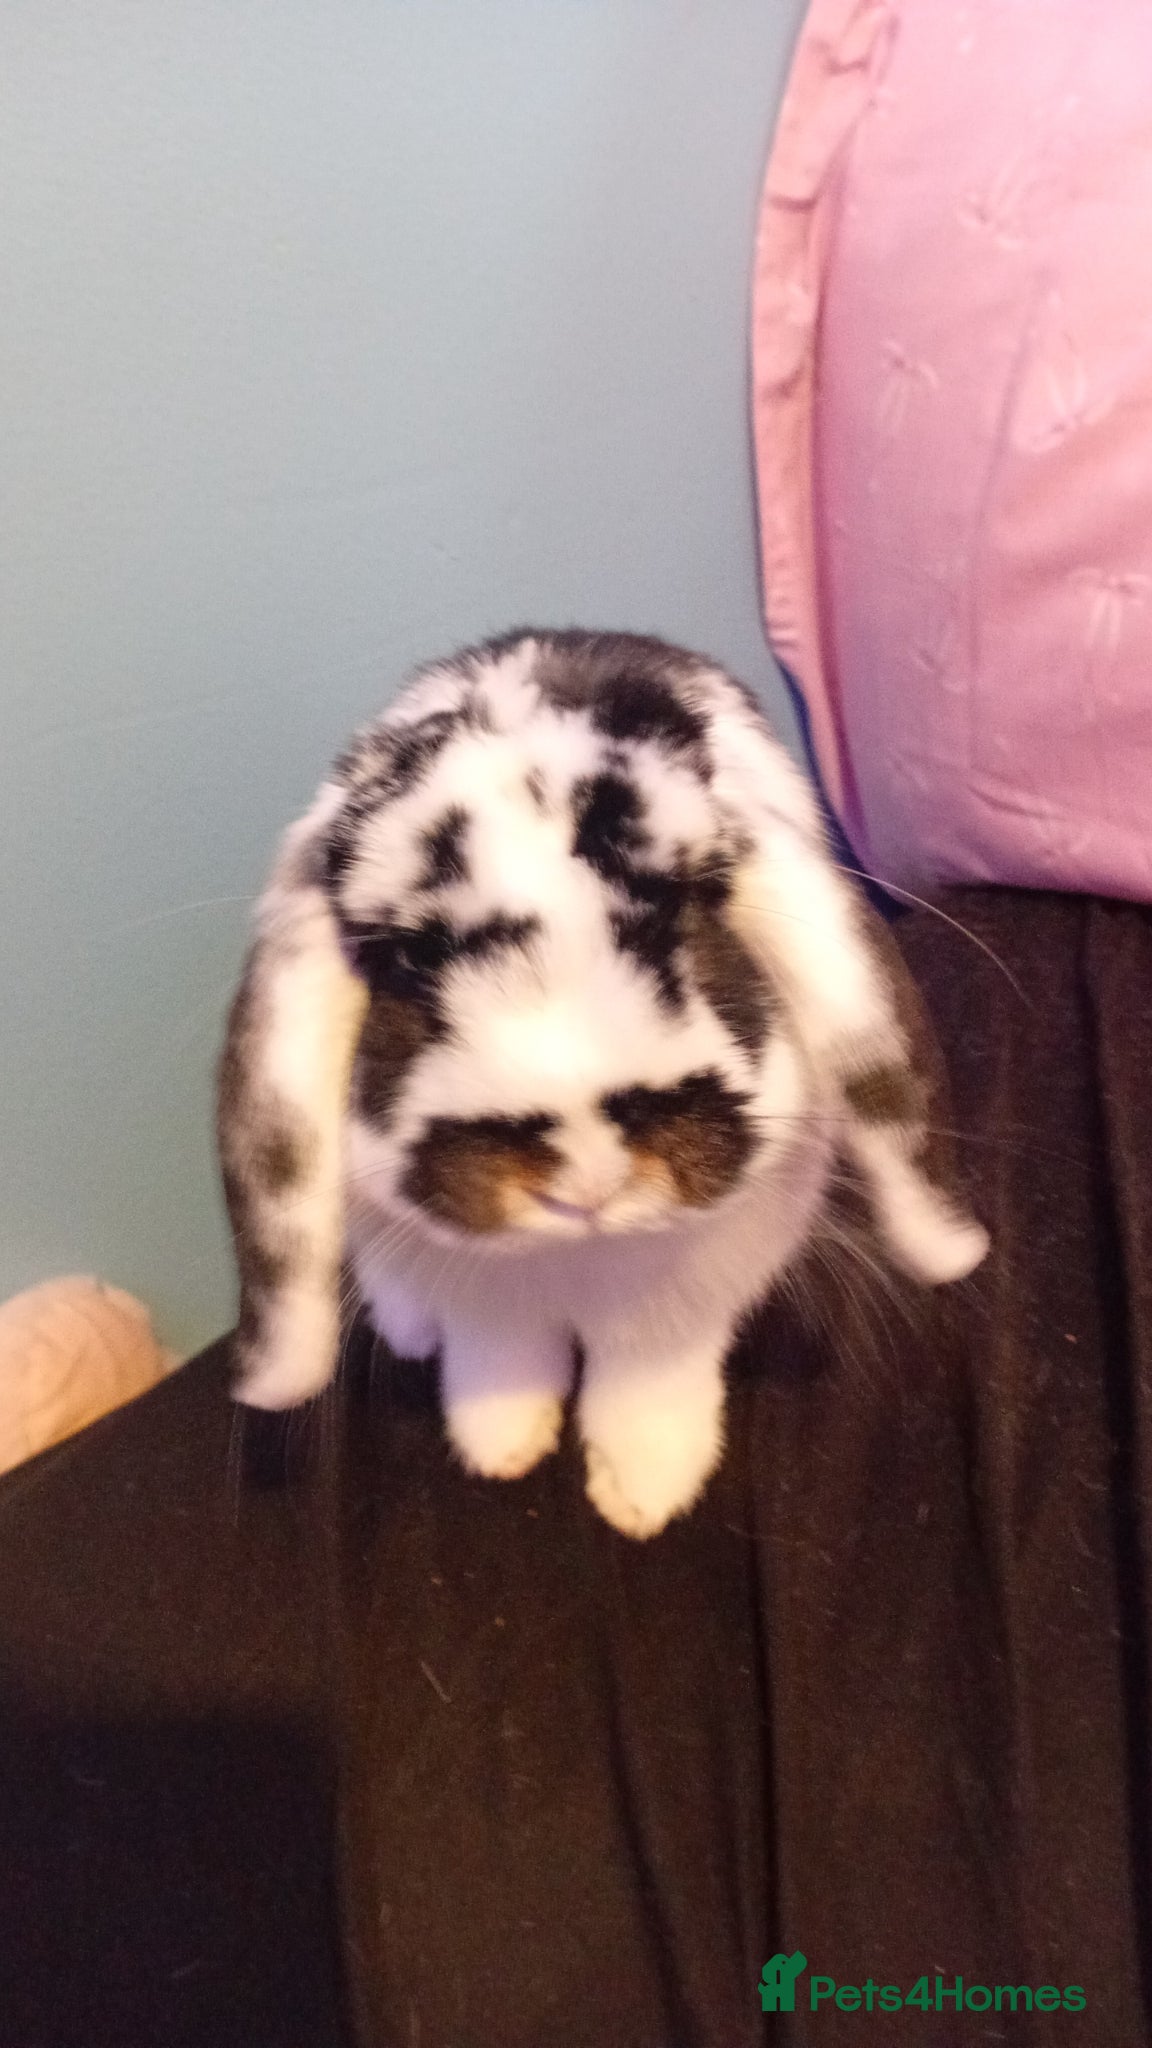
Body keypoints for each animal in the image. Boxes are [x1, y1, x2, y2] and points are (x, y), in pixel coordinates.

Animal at [217, 629, 988, 1538]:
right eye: (405, 962)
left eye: (683, 916)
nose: (588, 1177)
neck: (576, 1256)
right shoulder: (479, 1297)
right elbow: (497, 1355)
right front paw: (500, 1441)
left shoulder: (686, 1301)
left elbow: (647, 1377)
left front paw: (644, 1490)